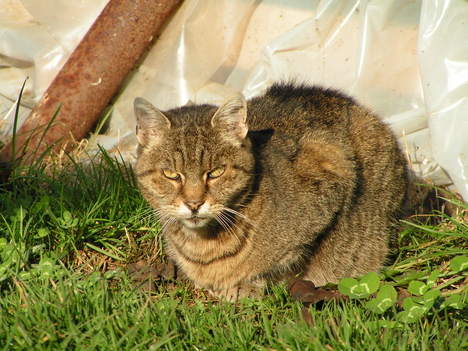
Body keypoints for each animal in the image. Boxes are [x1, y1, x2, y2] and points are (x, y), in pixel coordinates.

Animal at [133, 83, 408, 302]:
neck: (202, 244)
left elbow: (280, 265)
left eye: (216, 172)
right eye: (171, 174)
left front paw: (245, 286)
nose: (193, 203)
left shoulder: (331, 166)